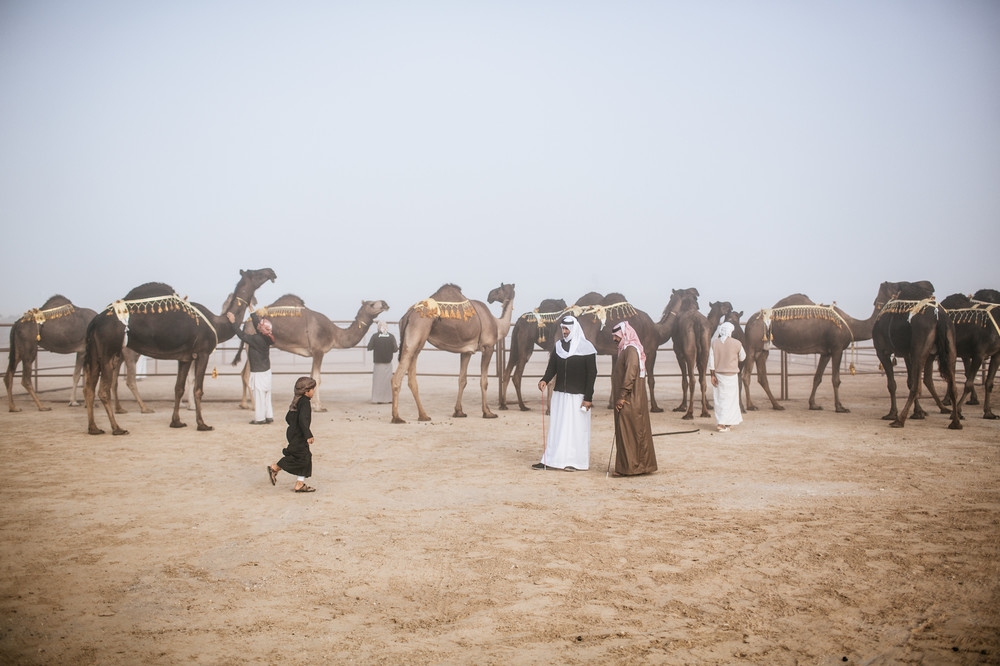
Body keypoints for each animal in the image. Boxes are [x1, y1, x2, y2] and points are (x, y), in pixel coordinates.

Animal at [82, 268, 276, 434]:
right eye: (255, 273)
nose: (271, 272)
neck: (217, 324)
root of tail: (95, 321)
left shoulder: (185, 357)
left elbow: (178, 388)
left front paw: (176, 422)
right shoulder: (203, 353)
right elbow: (198, 389)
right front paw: (202, 424)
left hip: (95, 353)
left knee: (89, 388)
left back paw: (94, 428)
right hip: (107, 352)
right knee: (103, 390)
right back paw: (117, 428)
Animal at [234, 294, 390, 410]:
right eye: (371, 304)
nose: (385, 303)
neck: (335, 334)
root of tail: (246, 323)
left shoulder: (315, 353)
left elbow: (311, 379)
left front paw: (312, 404)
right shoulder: (318, 350)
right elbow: (317, 378)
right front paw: (319, 407)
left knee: (242, 373)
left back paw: (243, 404)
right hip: (252, 343)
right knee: (247, 374)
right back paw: (254, 405)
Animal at [390, 282, 516, 422]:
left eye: (498, 290)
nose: (490, 296)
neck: (498, 325)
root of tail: (408, 315)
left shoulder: (466, 352)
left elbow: (462, 380)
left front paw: (459, 411)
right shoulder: (488, 347)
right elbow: (484, 382)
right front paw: (488, 412)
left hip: (415, 343)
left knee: (412, 377)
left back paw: (423, 415)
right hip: (417, 333)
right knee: (397, 377)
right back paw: (397, 417)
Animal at [744, 278, 900, 410]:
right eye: (895, 286)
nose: (904, 285)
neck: (851, 324)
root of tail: (749, 323)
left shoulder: (826, 352)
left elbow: (817, 378)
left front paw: (813, 404)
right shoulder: (837, 348)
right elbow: (836, 379)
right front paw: (840, 407)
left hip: (762, 349)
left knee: (762, 377)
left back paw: (777, 405)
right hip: (752, 346)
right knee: (746, 375)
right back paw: (751, 406)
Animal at [876, 278, 960, 428]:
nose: (875, 302)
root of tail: (940, 317)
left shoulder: (882, 351)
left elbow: (893, 384)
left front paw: (892, 413)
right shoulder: (907, 354)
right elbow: (909, 381)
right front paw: (919, 413)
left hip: (919, 349)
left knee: (916, 386)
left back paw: (899, 420)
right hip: (949, 348)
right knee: (952, 386)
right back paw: (955, 422)